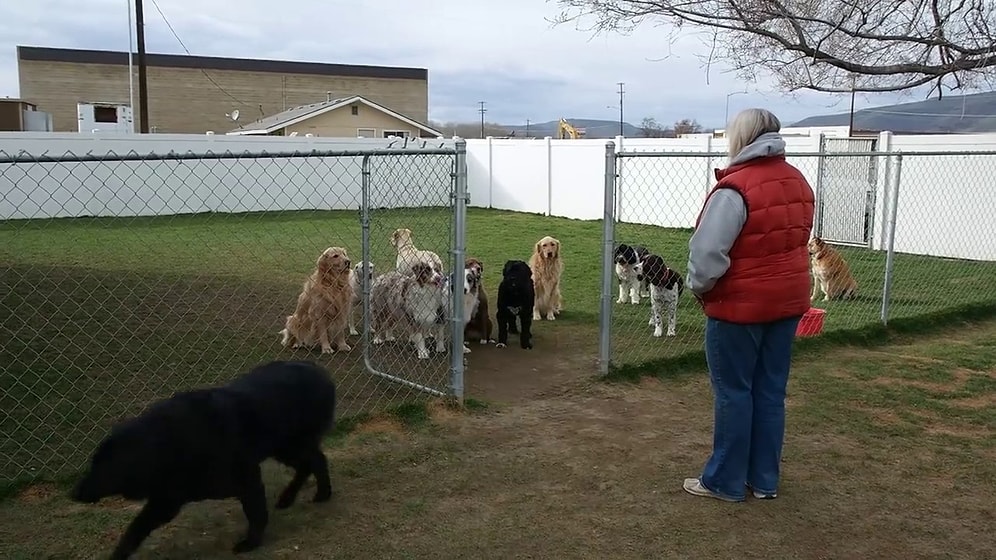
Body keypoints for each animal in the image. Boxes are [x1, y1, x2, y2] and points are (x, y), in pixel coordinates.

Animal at [71, 360, 338, 556]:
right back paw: (289, 497)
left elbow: (256, 513)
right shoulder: (166, 501)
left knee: (316, 460)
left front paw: (251, 543)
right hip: (283, 448)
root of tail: (318, 369)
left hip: (290, 445)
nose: (74, 493)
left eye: (103, 467)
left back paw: (321, 493)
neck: (168, 446)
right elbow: (134, 530)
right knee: (310, 463)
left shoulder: (247, 478)